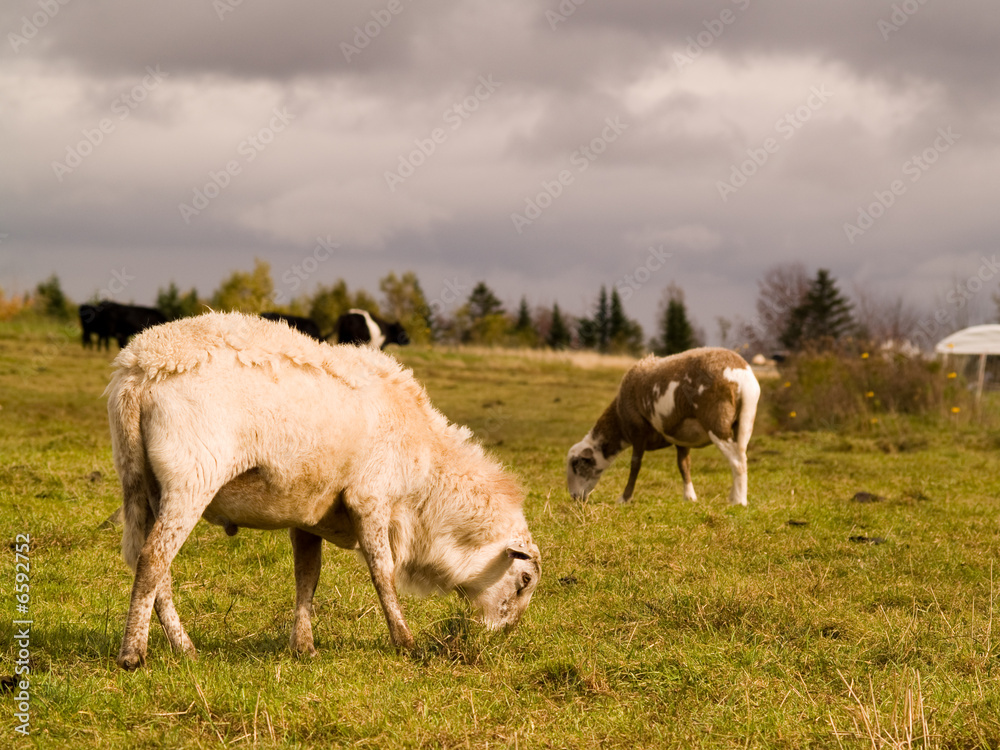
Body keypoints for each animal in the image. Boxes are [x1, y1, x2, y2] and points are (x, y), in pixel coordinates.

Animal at [106, 312, 540, 668]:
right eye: (524, 581)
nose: (501, 638)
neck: (428, 485)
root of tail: (138, 368)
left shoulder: (307, 513)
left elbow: (307, 576)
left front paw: (304, 647)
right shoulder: (371, 498)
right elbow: (383, 573)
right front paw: (405, 642)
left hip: (144, 482)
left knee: (157, 568)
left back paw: (183, 648)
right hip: (192, 478)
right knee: (153, 560)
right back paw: (134, 654)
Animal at [568, 350, 760, 508]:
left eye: (576, 465)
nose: (575, 498)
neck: (620, 422)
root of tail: (742, 375)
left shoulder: (638, 430)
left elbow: (635, 465)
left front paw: (624, 498)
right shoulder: (682, 438)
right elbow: (684, 465)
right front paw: (689, 497)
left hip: (717, 422)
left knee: (737, 461)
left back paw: (738, 501)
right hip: (746, 420)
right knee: (742, 456)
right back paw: (737, 496)